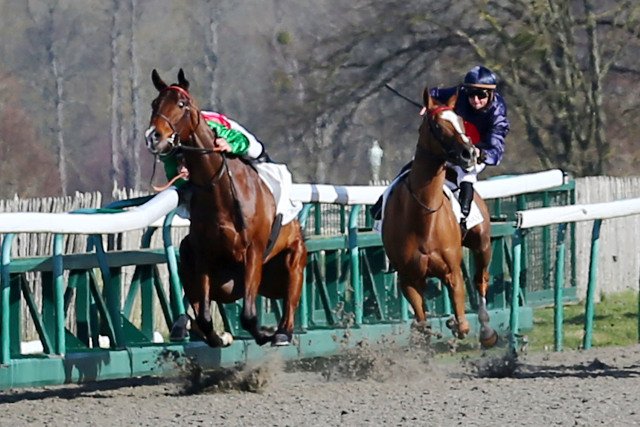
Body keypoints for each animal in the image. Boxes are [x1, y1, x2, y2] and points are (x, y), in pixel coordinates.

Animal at [145, 69, 307, 347]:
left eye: (181, 104)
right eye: (155, 104)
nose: (155, 136)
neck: (219, 189)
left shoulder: (253, 251)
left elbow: (249, 315)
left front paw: (264, 334)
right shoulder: (203, 254)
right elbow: (204, 317)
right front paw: (219, 337)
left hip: (292, 259)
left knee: (290, 300)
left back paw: (282, 332)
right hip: (209, 271)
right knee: (196, 310)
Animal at [381, 86, 498, 348]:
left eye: (461, 123)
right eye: (436, 124)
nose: (469, 153)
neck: (423, 218)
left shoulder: (452, 272)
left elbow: (463, 324)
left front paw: (455, 325)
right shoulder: (409, 279)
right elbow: (422, 322)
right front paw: (425, 331)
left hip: (482, 243)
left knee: (481, 279)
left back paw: (487, 331)